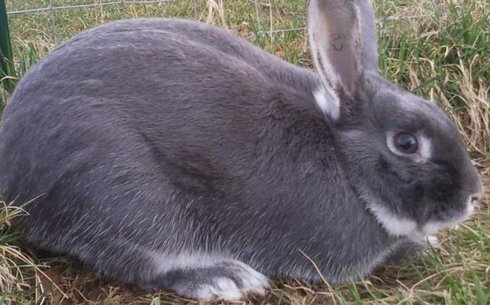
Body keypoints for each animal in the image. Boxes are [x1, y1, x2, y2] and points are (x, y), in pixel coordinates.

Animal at [0, 0, 482, 300]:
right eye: (406, 143)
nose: (474, 196)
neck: (346, 164)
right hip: (121, 196)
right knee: (136, 260)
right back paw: (223, 278)